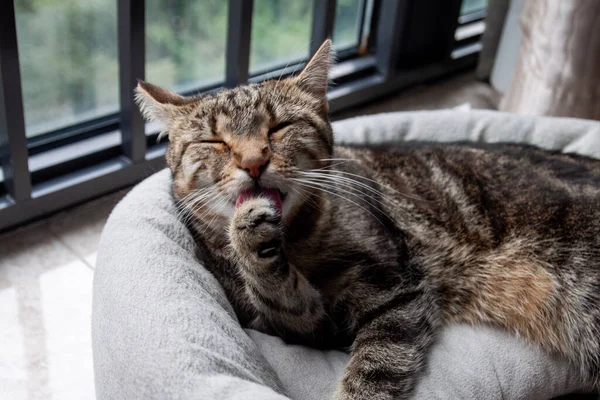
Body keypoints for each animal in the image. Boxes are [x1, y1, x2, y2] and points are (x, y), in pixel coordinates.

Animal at [136, 39, 600, 396]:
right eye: (214, 141)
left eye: (279, 127)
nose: (253, 162)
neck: (298, 237)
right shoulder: (306, 327)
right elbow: (281, 295)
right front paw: (251, 238)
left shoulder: (395, 289)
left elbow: (374, 369)